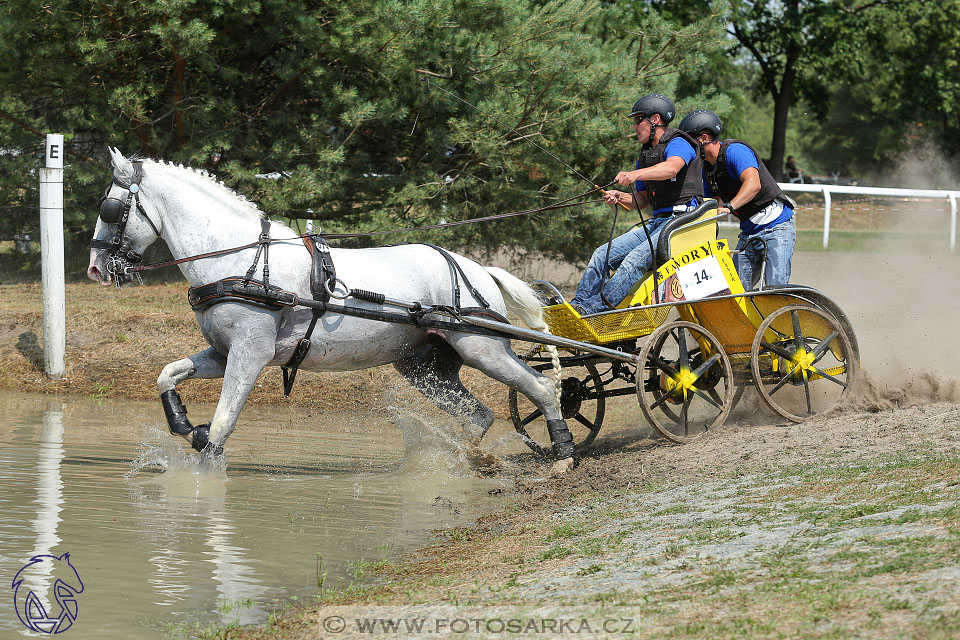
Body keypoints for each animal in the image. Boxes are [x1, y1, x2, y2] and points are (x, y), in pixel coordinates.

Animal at [86, 148, 572, 472]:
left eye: (110, 208)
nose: (95, 268)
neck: (242, 259)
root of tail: (478, 270)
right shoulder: (225, 353)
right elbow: (167, 375)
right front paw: (186, 425)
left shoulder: (250, 354)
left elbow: (222, 426)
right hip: (424, 368)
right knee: (480, 415)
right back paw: (468, 460)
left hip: (481, 348)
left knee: (543, 389)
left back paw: (564, 456)